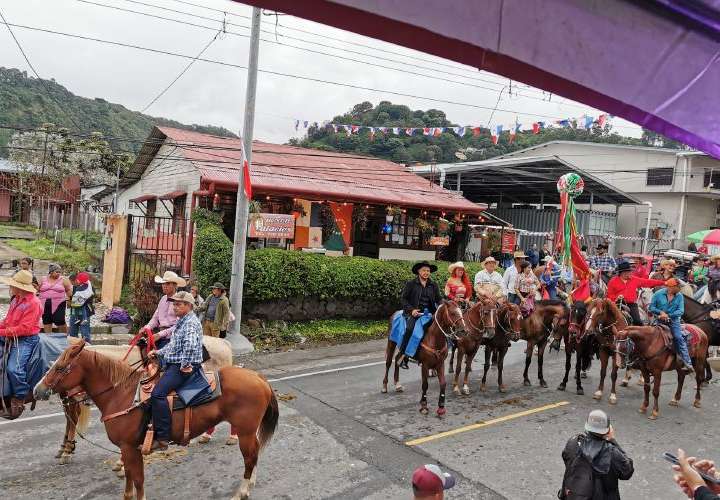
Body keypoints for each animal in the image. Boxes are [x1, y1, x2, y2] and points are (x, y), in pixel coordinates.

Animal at [35, 340, 280, 500]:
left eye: (60, 367)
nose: (38, 390)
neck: (121, 395)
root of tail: (259, 378)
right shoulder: (127, 449)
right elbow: (130, 480)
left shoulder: (130, 448)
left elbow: (138, 480)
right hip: (248, 431)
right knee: (254, 453)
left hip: (245, 431)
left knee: (249, 458)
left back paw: (242, 491)